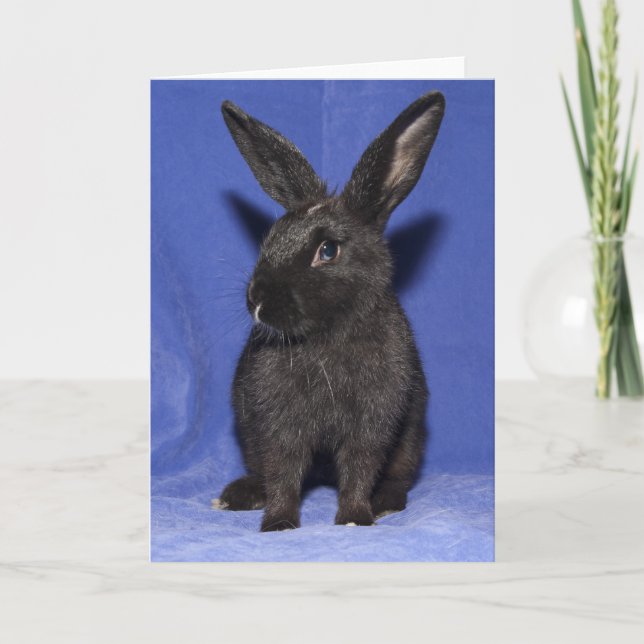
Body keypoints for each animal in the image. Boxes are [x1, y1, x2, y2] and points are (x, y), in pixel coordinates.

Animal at [213, 90, 445, 531]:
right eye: (270, 238)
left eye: (328, 250)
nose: (257, 299)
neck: (326, 335)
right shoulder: (277, 424)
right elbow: (283, 471)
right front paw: (278, 523)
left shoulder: (374, 422)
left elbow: (359, 467)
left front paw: (354, 519)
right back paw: (237, 496)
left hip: (410, 438)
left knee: (398, 476)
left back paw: (385, 503)